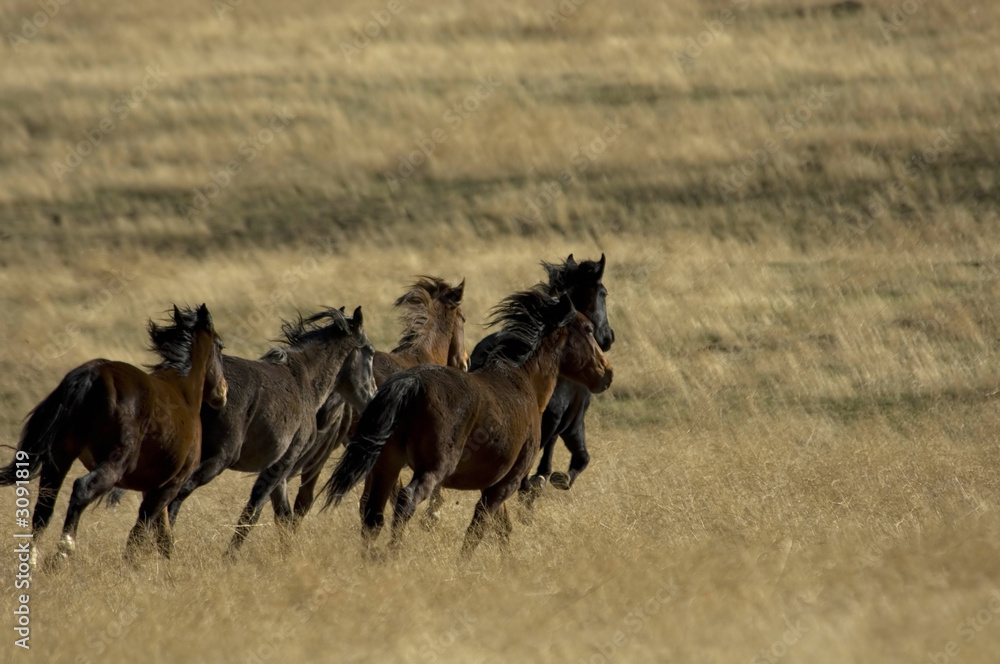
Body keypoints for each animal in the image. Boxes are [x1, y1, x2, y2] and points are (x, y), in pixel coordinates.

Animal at [0, 304, 227, 566]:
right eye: (220, 345)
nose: (223, 391)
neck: (183, 392)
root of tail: (92, 375)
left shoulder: (155, 487)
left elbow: (163, 535)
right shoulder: (170, 485)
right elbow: (141, 531)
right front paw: (131, 565)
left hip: (60, 457)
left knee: (44, 507)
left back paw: (33, 561)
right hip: (114, 462)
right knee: (81, 489)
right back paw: (63, 551)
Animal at [320, 288, 613, 557]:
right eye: (588, 329)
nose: (607, 373)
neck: (522, 381)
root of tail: (412, 382)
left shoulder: (495, 484)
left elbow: (503, 528)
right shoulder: (507, 483)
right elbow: (477, 530)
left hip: (386, 464)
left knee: (372, 515)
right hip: (431, 469)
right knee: (405, 501)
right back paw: (392, 554)